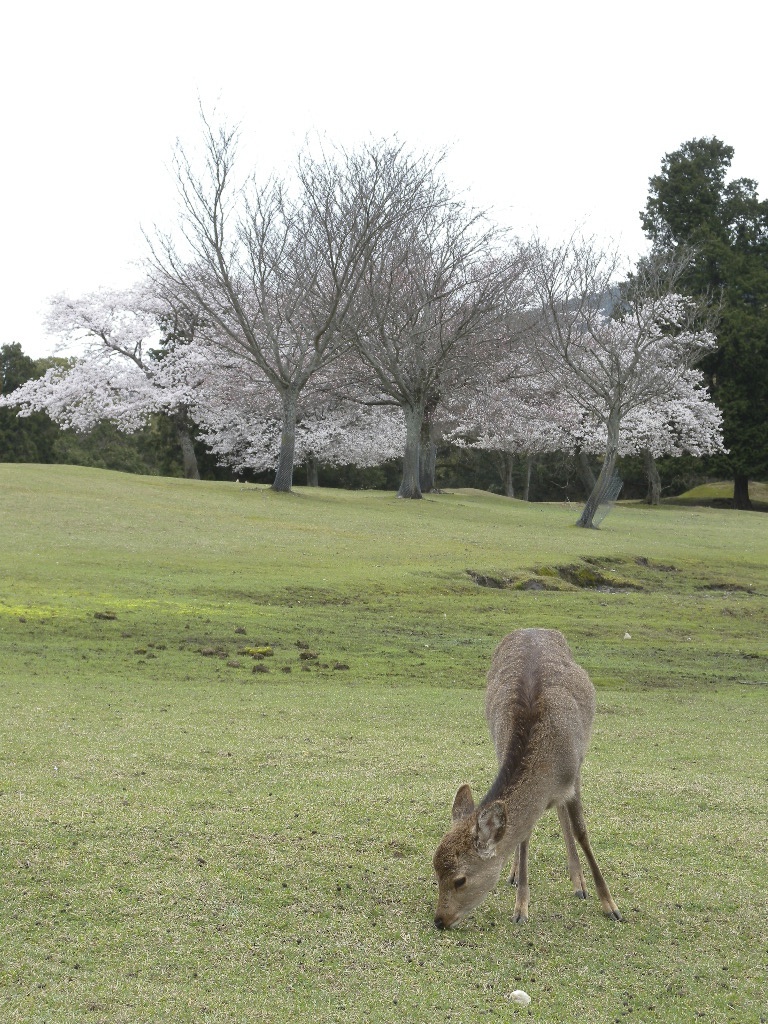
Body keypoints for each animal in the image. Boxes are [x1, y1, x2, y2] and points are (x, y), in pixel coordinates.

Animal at [436, 626, 622, 933]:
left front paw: (610, 905)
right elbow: (523, 834)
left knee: (562, 815)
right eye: (435, 870)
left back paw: (578, 882)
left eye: (460, 879)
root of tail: (532, 628)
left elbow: (581, 832)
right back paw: (516, 874)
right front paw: (521, 907)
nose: (439, 920)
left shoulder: (574, 775)